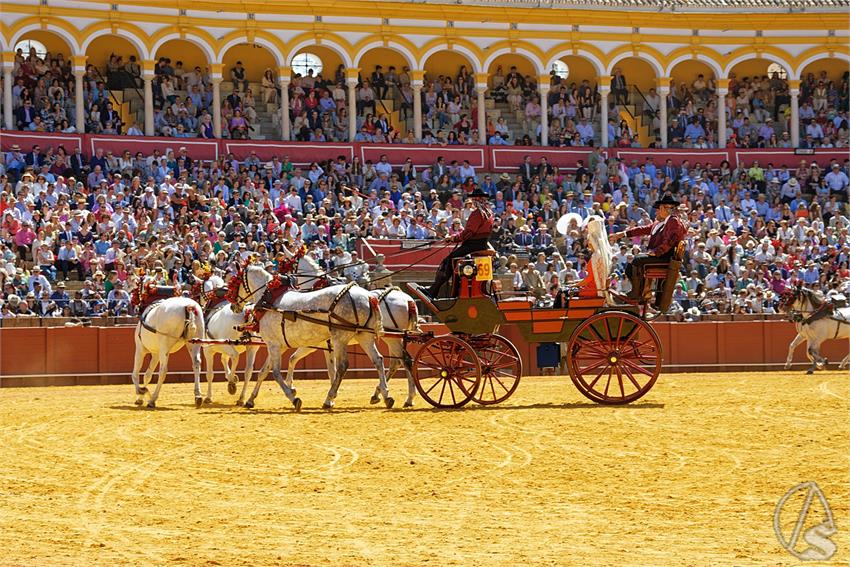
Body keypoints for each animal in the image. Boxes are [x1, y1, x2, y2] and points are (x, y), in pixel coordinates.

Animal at [131, 280, 207, 408]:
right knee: (196, 363)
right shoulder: (156, 353)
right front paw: (141, 397)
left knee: (163, 370)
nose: (134, 305)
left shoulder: (140, 349)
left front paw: (141, 392)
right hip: (194, 343)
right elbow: (147, 375)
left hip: (164, 348)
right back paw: (198, 396)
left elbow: (135, 373)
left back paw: (153, 400)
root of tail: (189, 306)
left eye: (136, 289)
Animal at [198, 274, 258, 404]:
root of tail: (247, 312)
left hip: (226, 345)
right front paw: (231, 376)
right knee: (248, 371)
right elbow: (223, 359)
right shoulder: (224, 349)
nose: (199, 303)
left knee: (235, 356)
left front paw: (208, 397)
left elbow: (209, 374)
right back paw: (241, 397)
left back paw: (231, 383)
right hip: (252, 348)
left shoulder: (208, 350)